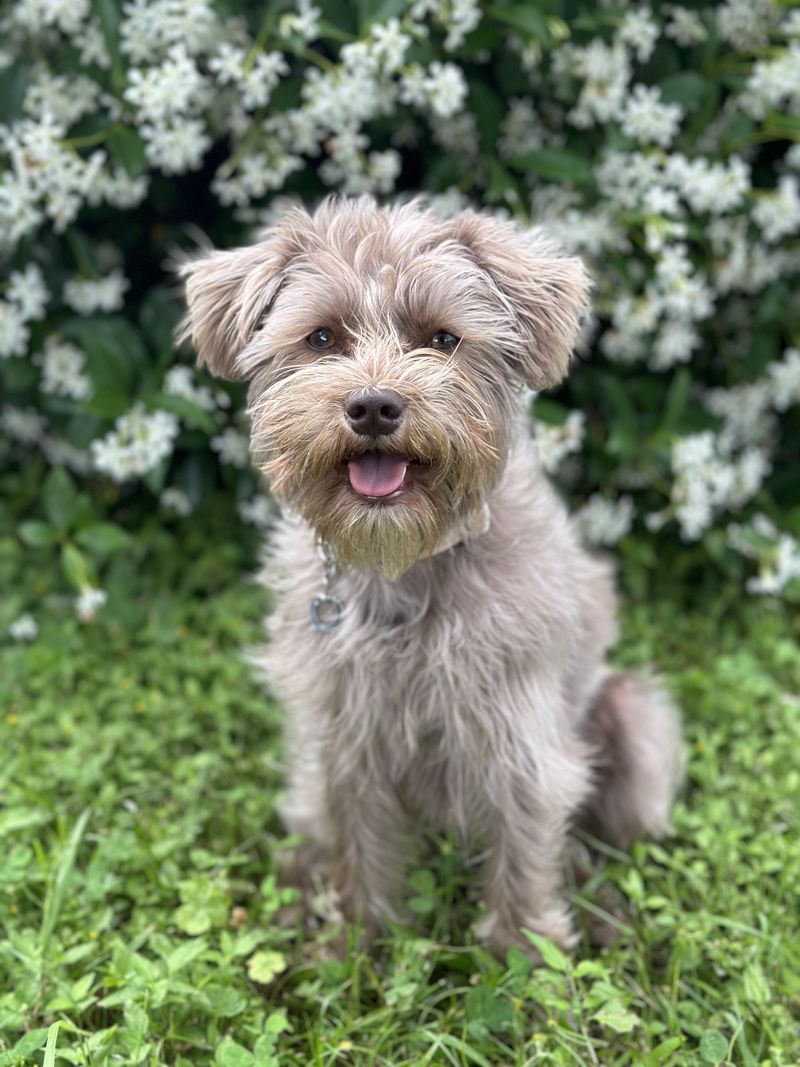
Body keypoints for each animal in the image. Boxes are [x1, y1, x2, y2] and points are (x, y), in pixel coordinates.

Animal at [180, 198, 682, 960]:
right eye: (322, 337)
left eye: (443, 338)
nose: (374, 406)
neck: (404, 564)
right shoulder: (343, 730)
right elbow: (355, 845)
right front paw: (356, 948)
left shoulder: (519, 730)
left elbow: (523, 857)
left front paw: (525, 967)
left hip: (631, 717)